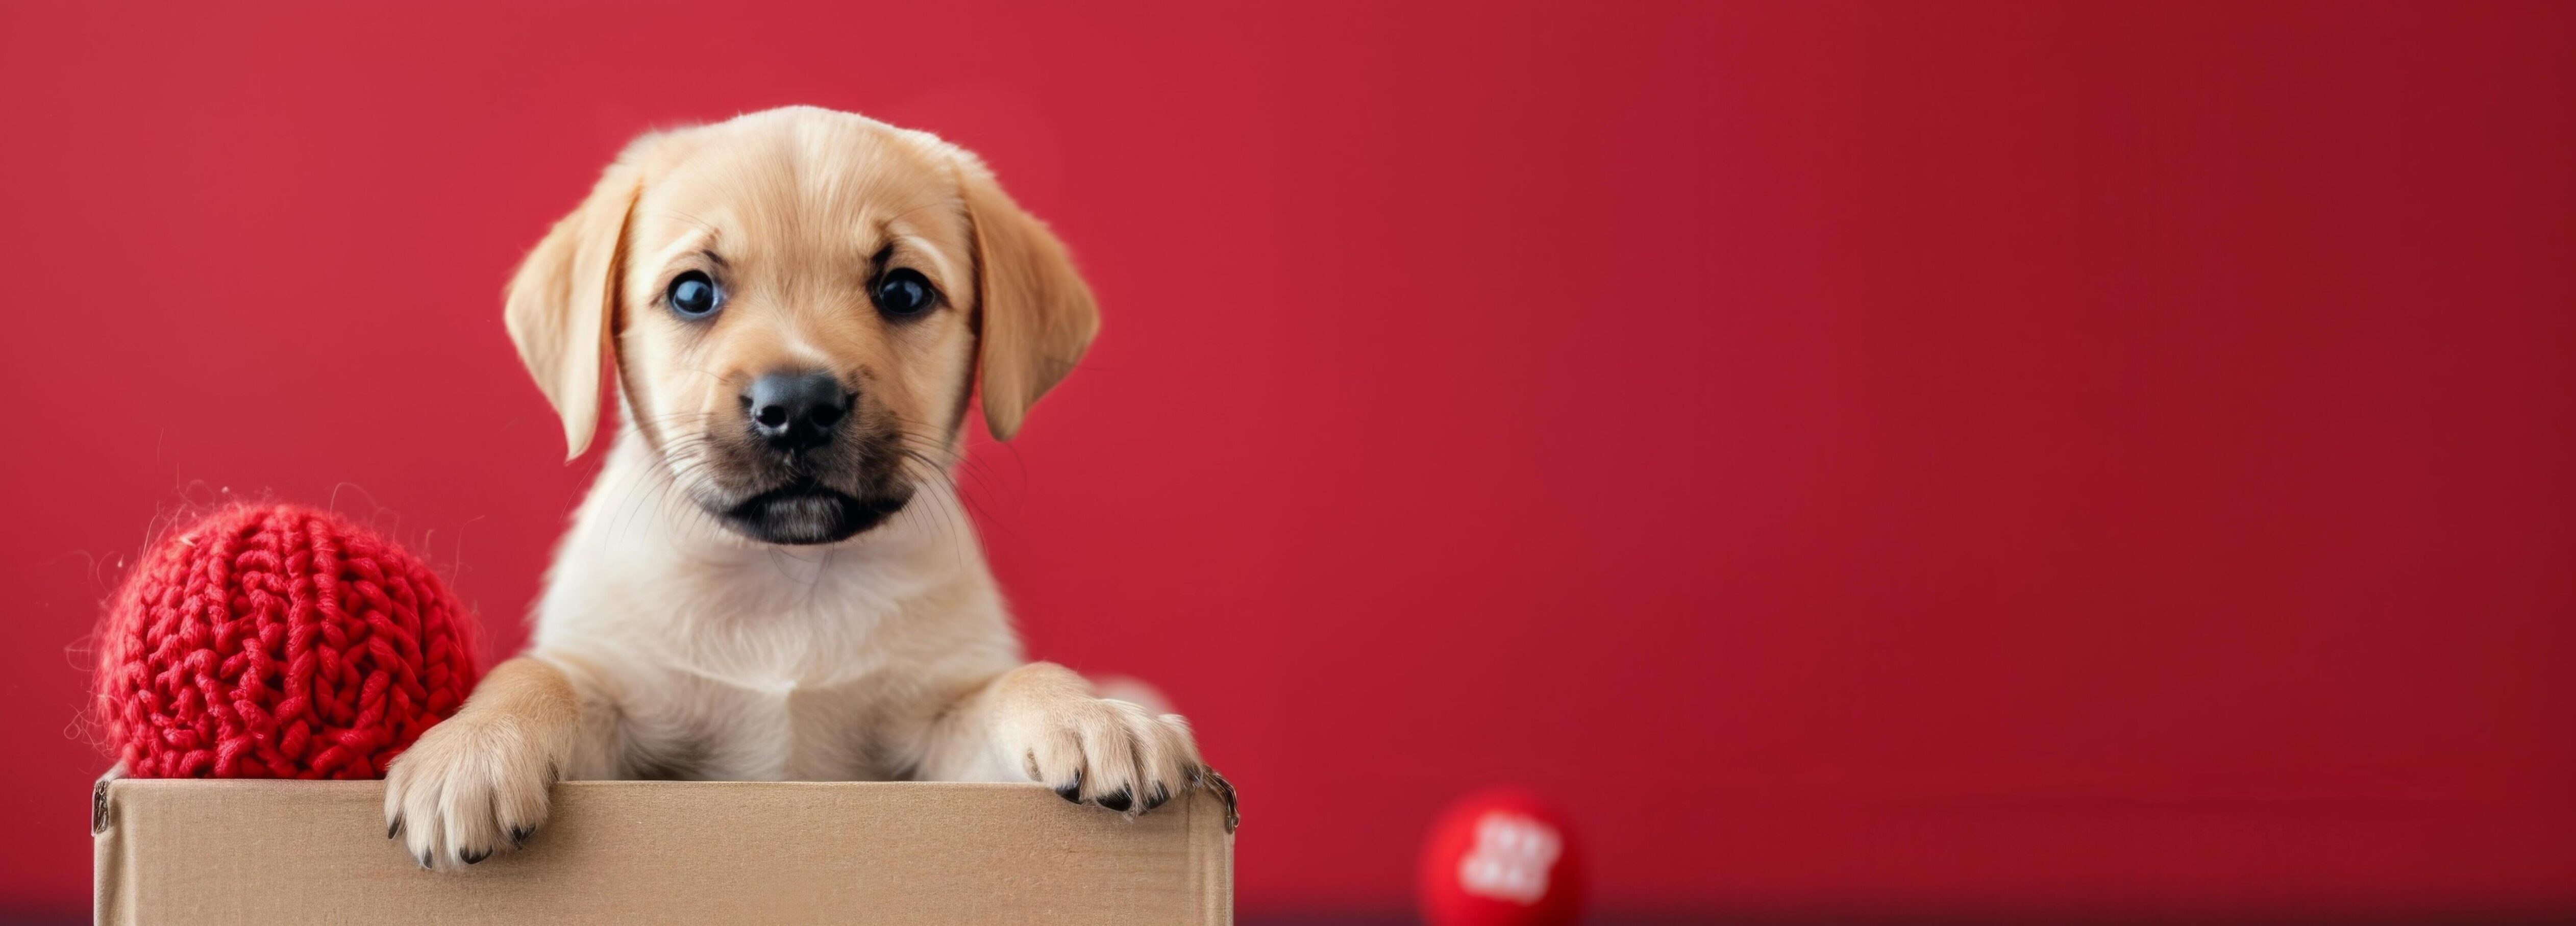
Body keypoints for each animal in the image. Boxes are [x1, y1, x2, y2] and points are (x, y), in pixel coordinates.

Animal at [384, 107, 1226, 869]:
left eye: (904, 291)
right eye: (693, 293)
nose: (796, 406)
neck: (788, 583)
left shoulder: (932, 743)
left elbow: (1018, 677)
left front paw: (1092, 711)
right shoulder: (629, 734)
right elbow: (538, 672)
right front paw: (472, 745)